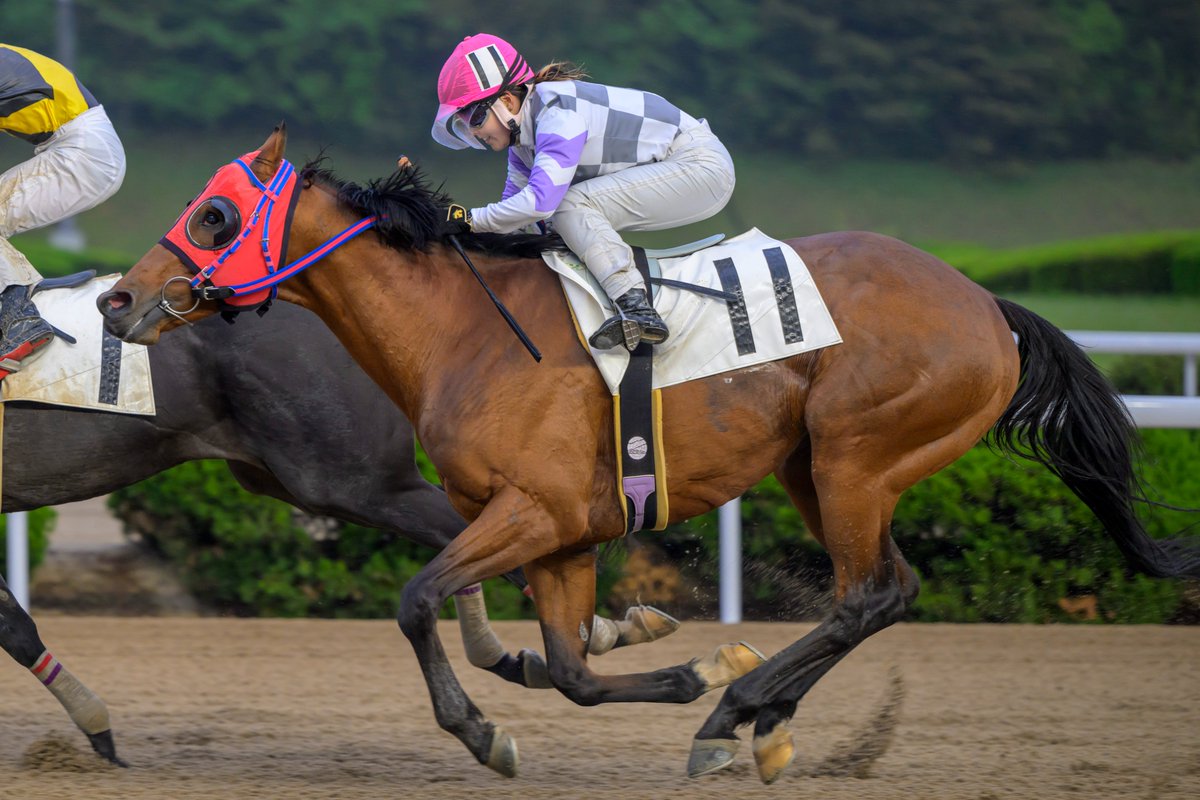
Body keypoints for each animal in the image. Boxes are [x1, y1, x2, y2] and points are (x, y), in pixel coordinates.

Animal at [1, 300, 677, 767]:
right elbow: (15, 625)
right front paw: (96, 726)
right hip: (294, 477)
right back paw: (565, 643)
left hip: (347, 476)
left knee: (478, 534)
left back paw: (590, 638)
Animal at [96, 125, 1199, 783]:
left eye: (215, 214)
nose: (115, 299)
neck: (466, 331)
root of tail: (984, 304)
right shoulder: (562, 533)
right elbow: (571, 669)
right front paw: (680, 664)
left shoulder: (534, 509)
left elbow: (417, 601)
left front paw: (491, 730)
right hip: (816, 466)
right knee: (891, 587)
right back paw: (759, 715)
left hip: (856, 454)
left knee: (866, 595)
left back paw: (741, 712)